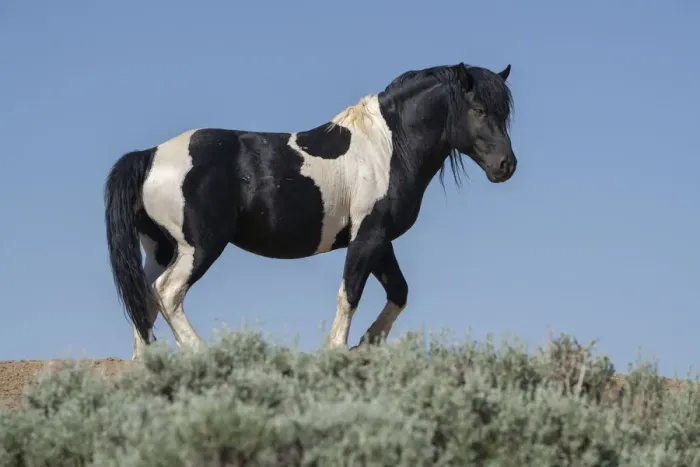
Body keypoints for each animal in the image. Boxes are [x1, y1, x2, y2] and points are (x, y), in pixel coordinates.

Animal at [104, 61, 517, 360]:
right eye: (479, 109)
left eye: (504, 114)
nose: (505, 165)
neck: (387, 148)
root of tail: (150, 155)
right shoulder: (368, 236)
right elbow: (350, 292)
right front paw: (338, 348)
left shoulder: (380, 239)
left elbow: (399, 291)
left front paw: (367, 344)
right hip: (199, 247)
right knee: (167, 292)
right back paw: (201, 352)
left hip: (160, 249)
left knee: (144, 298)